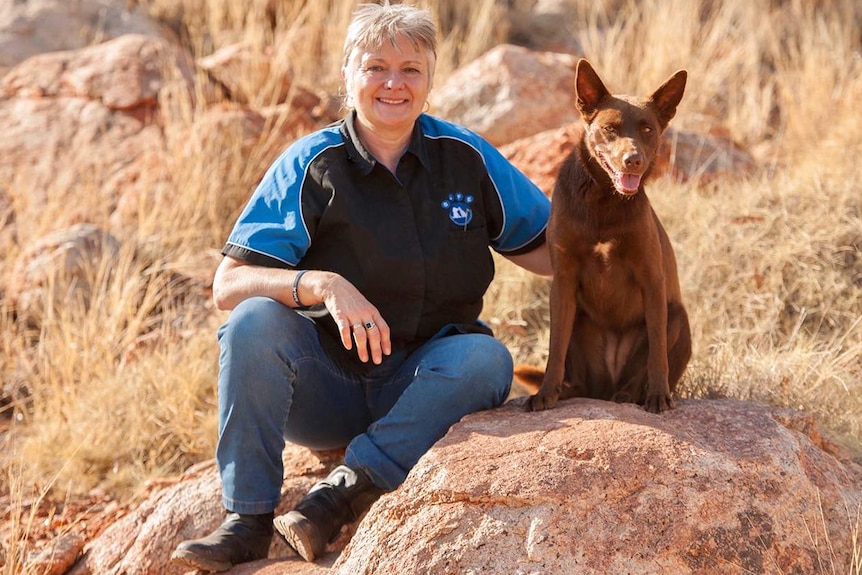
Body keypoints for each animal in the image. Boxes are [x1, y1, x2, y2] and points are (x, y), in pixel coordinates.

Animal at [520, 58, 696, 414]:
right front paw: (545, 393)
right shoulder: (563, 282)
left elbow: (657, 350)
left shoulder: (652, 280)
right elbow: (555, 347)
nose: (633, 160)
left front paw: (658, 396)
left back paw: (631, 395)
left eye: (647, 129)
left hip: (677, 316)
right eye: (610, 129)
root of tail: (604, 388)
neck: (603, 199)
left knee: (640, 371)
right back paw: (570, 391)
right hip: (581, 323)